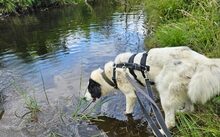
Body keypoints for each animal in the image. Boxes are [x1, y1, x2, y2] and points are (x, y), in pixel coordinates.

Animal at [84, 46, 220, 129]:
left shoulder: (130, 94)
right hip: (183, 88)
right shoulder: (152, 85)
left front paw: (125, 114)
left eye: (89, 89)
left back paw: (162, 129)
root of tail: (199, 59)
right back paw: (181, 112)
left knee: (170, 121)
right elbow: (153, 97)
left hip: (167, 89)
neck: (112, 72)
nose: (83, 98)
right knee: (190, 108)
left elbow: (128, 109)